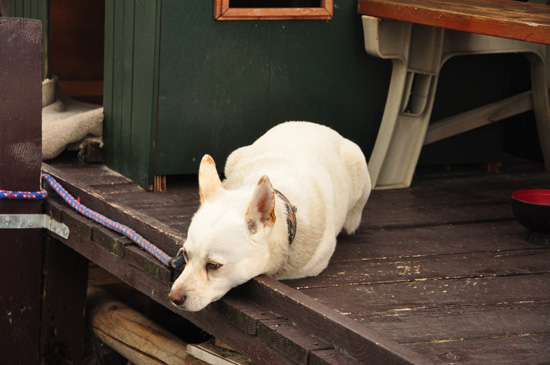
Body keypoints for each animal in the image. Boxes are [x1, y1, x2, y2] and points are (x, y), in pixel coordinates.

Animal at [170, 121, 374, 310]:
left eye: (213, 265)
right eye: (185, 255)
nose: (174, 298)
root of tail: (315, 125)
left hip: (358, 162)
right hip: (235, 155)